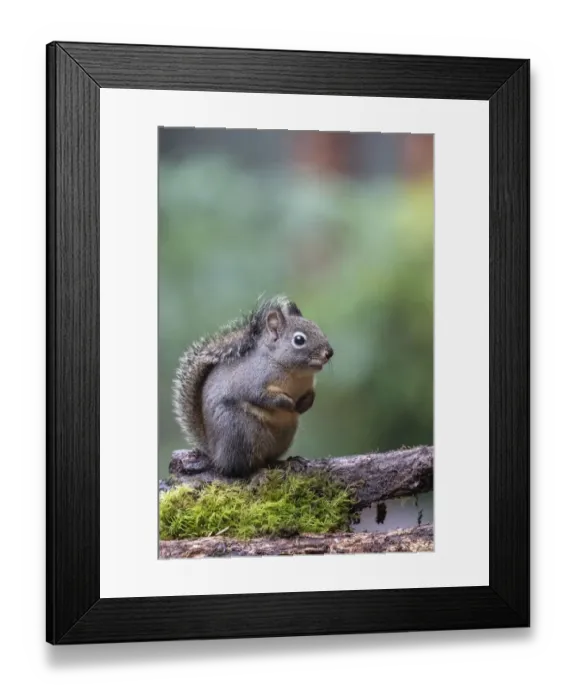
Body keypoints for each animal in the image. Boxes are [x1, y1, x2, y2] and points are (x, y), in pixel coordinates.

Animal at [172, 295, 334, 478]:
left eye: (318, 328)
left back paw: (285, 462)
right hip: (242, 429)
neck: (294, 373)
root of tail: (216, 454)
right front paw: (287, 403)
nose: (329, 352)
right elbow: (260, 396)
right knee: (240, 466)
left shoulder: (308, 386)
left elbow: (310, 395)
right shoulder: (252, 381)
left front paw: (304, 405)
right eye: (299, 340)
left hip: (284, 433)